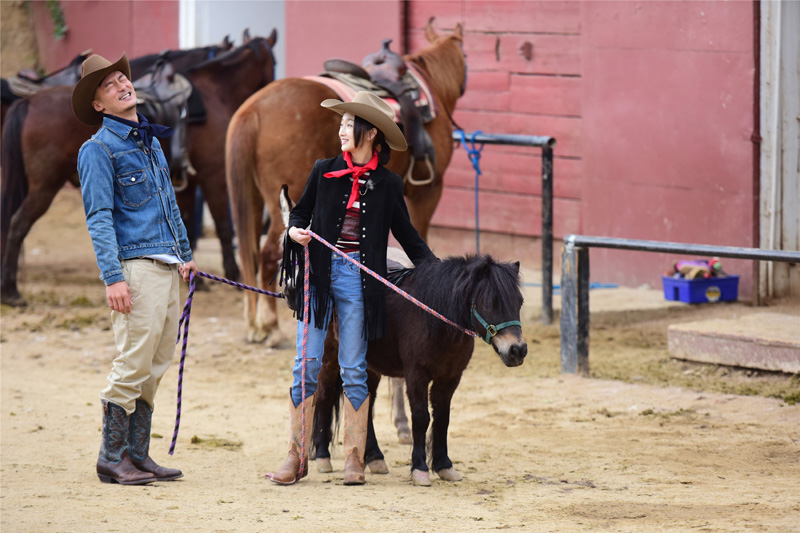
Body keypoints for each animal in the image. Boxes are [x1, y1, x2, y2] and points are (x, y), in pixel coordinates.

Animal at [0, 34, 276, 304]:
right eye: (273, 63)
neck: (213, 95)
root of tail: (29, 102)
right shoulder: (213, 174)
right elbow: (223, 225)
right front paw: (233, 274)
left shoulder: (183, 183)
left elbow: (184, 222)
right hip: (44, 186)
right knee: (17, 224)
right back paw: (11, 291)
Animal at [225, 20, 466, 342]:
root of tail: (252, 109)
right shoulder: (428, 191)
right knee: (269, 252)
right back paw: (272, 327)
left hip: (252, 197)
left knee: (250, 251)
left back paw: (256, 323)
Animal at [314, 251, 532, 484]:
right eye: (490, 304)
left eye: (519, 302)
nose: (517, 350)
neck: (434, 321)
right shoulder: (416, 375)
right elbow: (421, 417)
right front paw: (419, 468)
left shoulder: (449, 377)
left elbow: (442, 418)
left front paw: (444, 466)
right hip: (330, 359)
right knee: (324, 397)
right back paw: (322, 457)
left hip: (370, 367)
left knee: (366, 402)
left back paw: (374, 458)